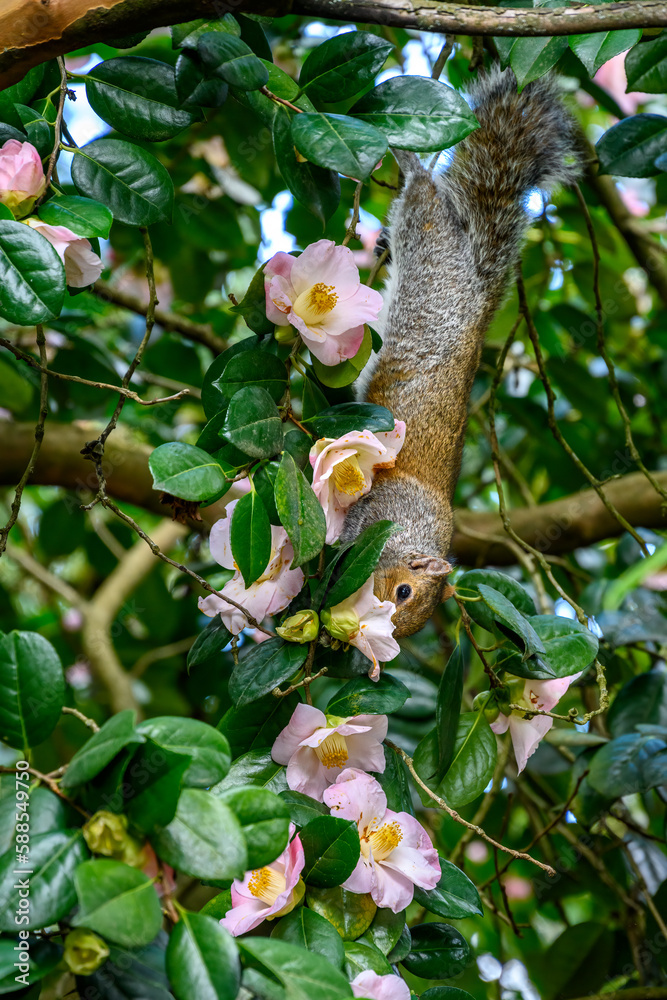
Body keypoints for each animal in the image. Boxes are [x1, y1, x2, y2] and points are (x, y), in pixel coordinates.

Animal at [340, 66, 583, 637]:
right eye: (403, 591)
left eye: (408, 617)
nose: (370, 631)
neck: (411, 533)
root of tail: (475, 284)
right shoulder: (377, 510)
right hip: (426, 238)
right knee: (423, 192)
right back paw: (406, 156)